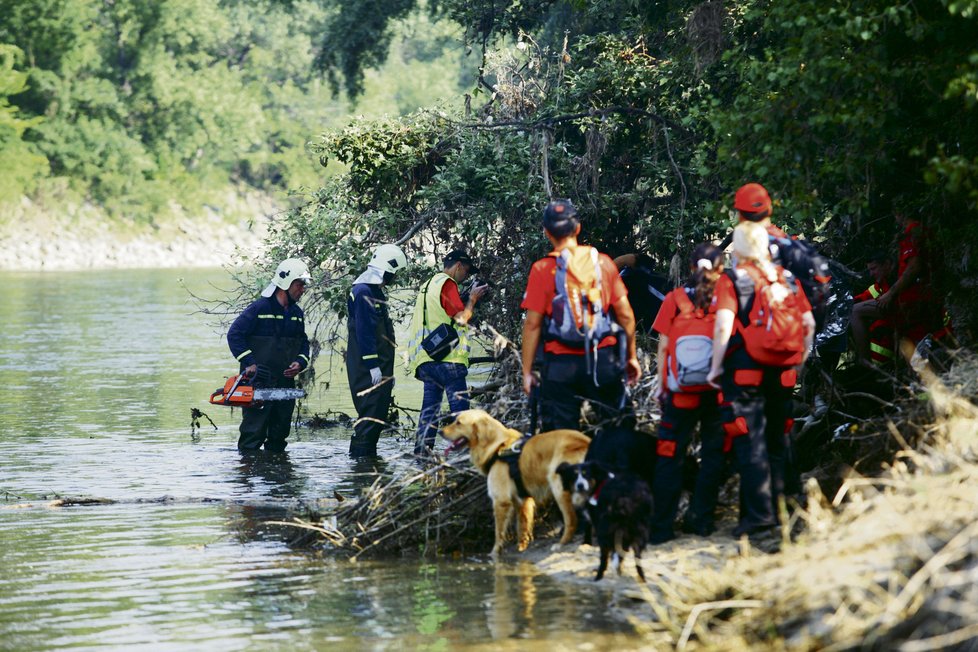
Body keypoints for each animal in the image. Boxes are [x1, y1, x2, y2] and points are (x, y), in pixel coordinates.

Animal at [440, 408, 588, 556]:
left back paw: (562, 543)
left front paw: (494, 553)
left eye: (458, 423)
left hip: (559, 488)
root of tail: (584, 441)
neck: (496, 447)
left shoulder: (500, 501)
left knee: (572, 520)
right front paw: (522, 548)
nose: (440, 432)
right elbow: (522, 528)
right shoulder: (522, 500)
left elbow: (499, 532)